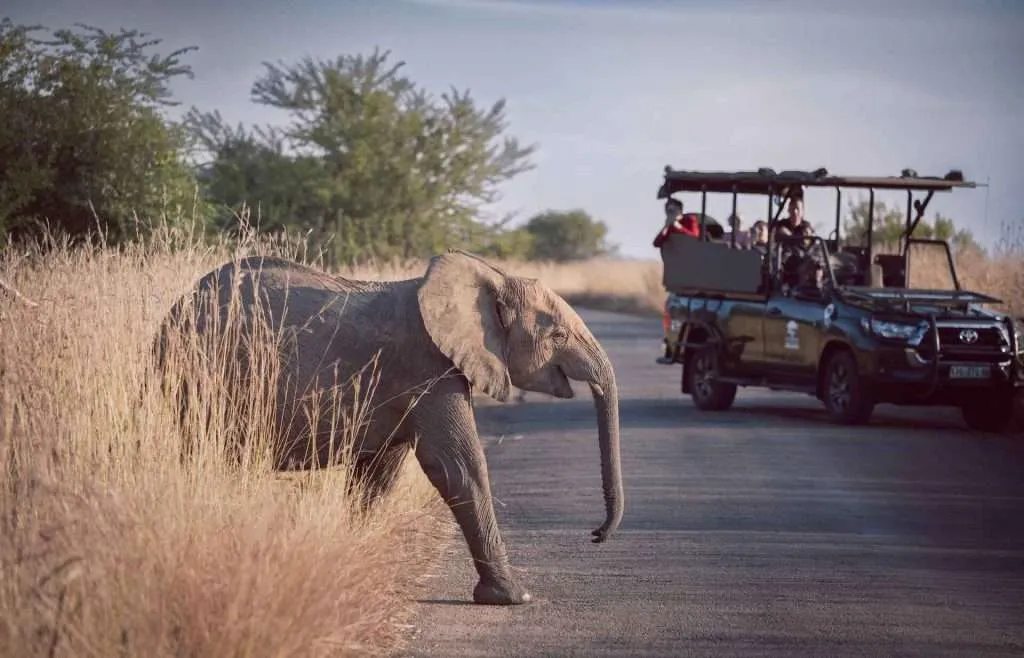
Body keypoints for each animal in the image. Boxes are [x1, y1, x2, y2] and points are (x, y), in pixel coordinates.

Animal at [151, 249, 624, 606]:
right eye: (558, 335)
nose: (596, 535)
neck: (491, 276)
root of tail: (174, 309)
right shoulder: (428, 366)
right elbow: (458, 465)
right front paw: (512, 598)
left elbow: (379, 472)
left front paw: (350, 558)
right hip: (201, 374)